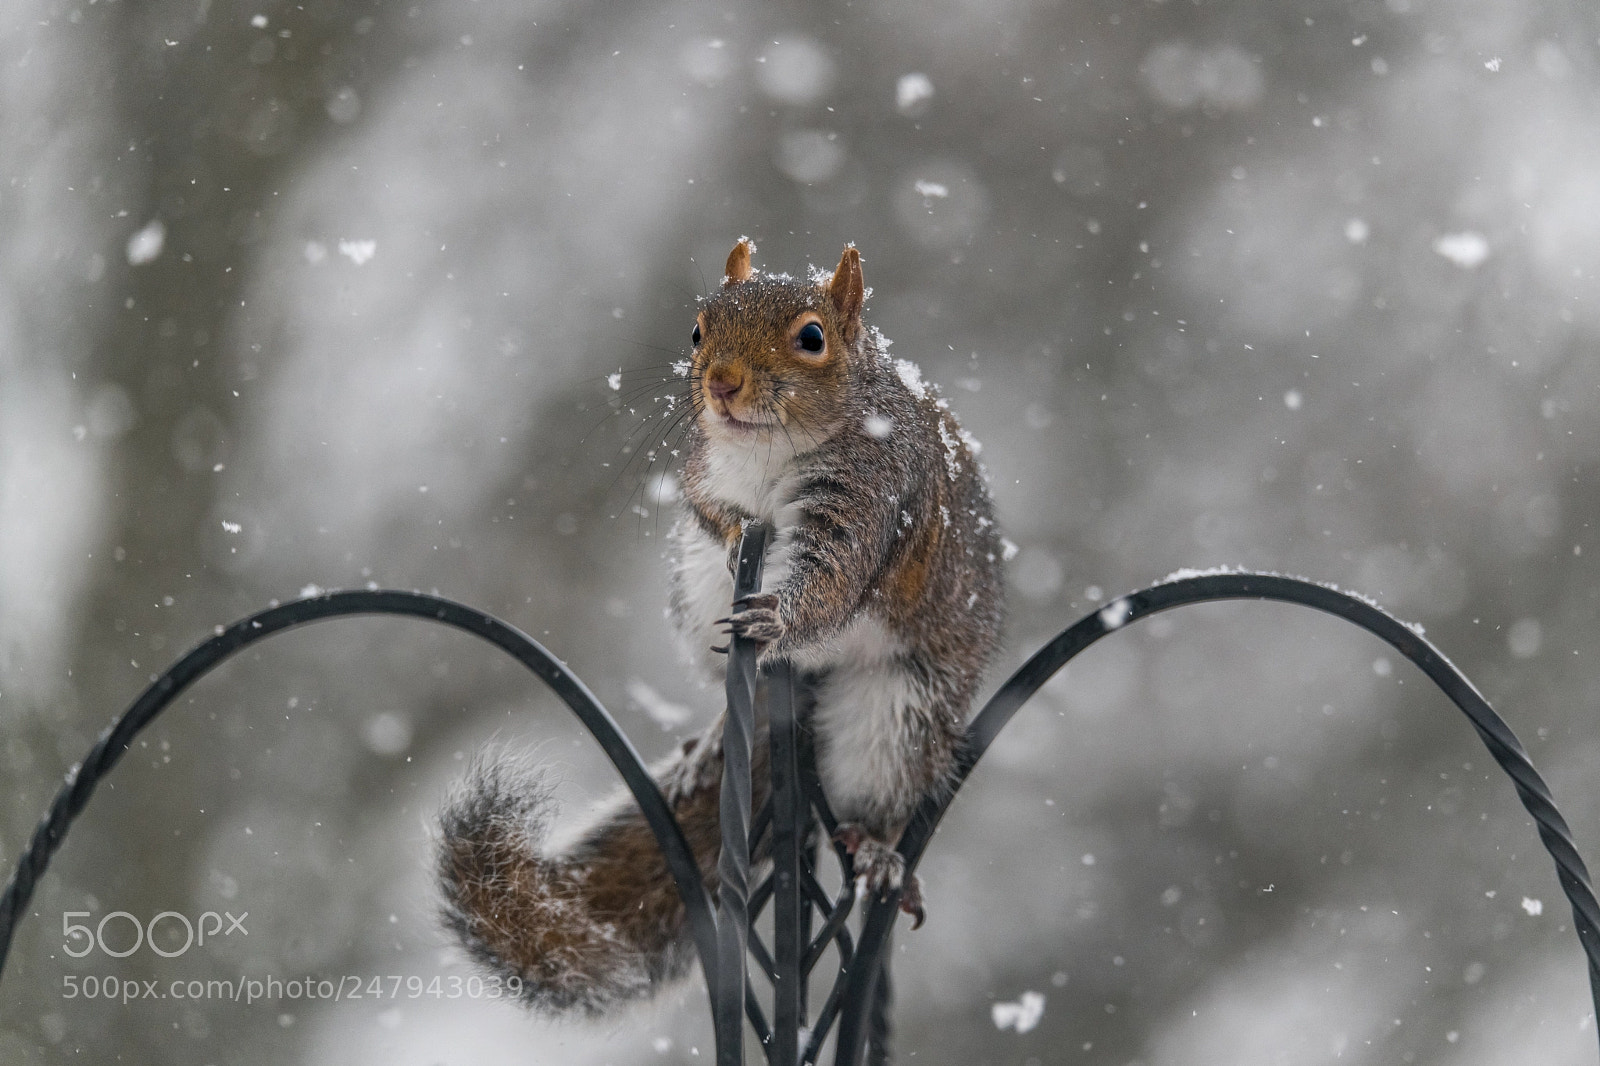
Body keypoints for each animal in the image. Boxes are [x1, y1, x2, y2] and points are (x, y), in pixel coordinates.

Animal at [436, 237, 1005, 1016]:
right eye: (698, 331)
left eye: (812, 338)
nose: (722, 384)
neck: (772, 450)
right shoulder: (707, 473)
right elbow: (711, 511)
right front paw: (738, 533)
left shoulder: (874, 493)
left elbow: (834, 580)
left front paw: (780, 617)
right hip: (698, 594)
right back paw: (711, 741)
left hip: (901, 705)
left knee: (890, 777)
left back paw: (882, 850)